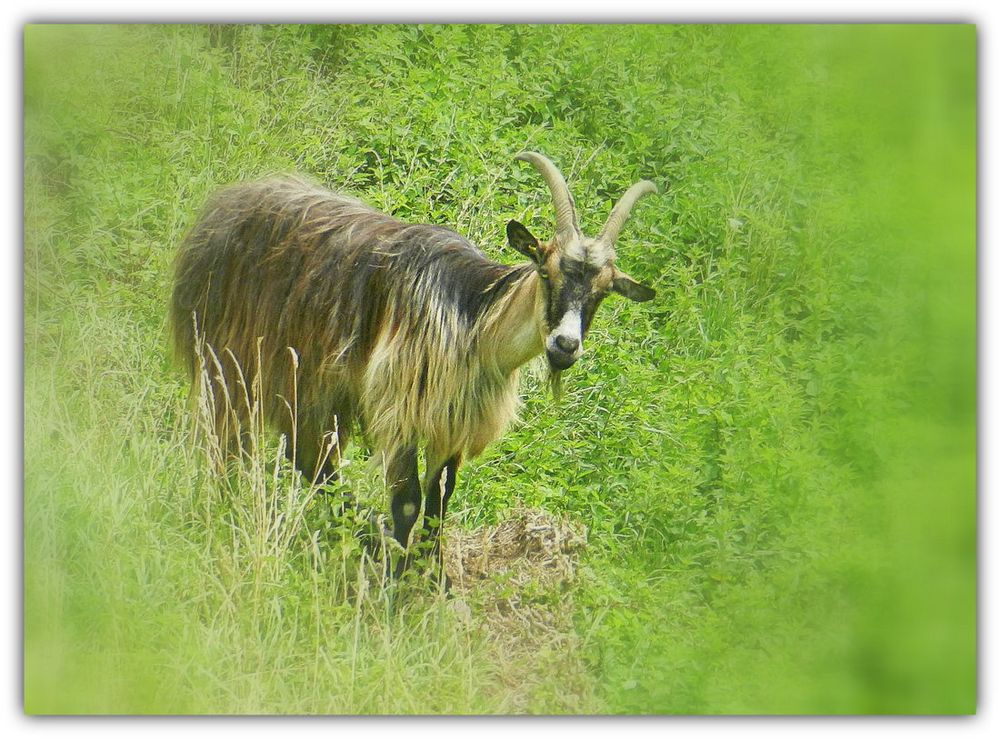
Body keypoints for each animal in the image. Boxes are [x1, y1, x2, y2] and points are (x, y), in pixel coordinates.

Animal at [172, 153, 656, 584]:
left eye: (603, 292)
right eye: (545, 271)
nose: (565, 346)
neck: (470, 315)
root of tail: (222, 205)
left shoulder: (451, 423)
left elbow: (439, 498)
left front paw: (432, 578)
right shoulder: (400, 408)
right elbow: (407, 500)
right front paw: (395, 584)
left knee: (308, 456)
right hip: (234, 355)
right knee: (236, 435)